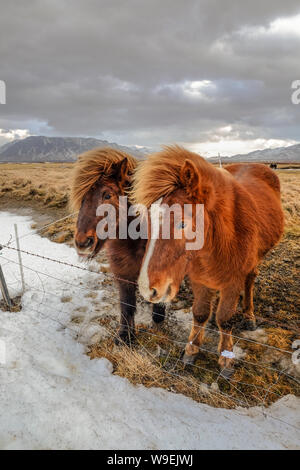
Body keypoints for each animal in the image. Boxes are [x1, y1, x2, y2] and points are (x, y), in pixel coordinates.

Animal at [71, 146, 166, 342]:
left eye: (107, 195)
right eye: (82, 198)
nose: (83, 243)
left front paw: (158, 315)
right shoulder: (122, 271)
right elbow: (126, 304)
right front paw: (125, 336)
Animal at [132, 147, 284, 374]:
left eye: (182, 223)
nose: (147, 289)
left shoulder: (233, 281)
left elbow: (225, 318)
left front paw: (226, 359)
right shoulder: (199, 278)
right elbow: (200, 313)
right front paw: (191, 350)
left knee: (250, 281)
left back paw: (249, 316)